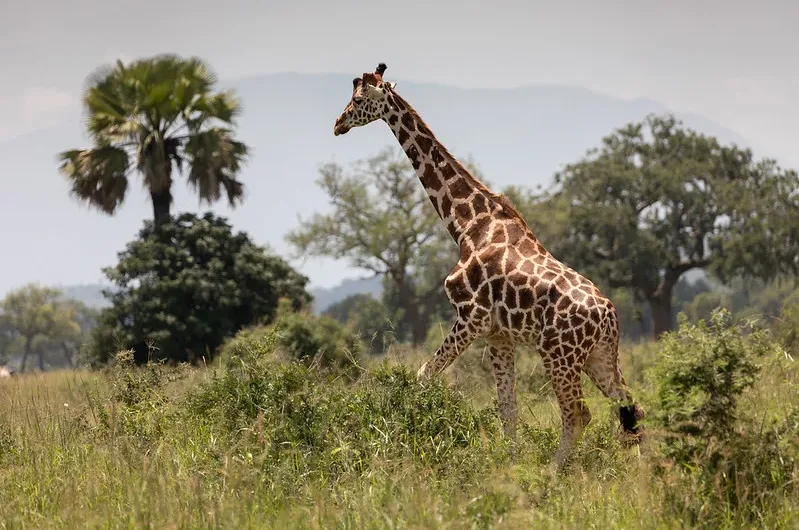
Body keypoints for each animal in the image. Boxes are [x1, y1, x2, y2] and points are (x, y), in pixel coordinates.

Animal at [334, 63, 648, 466]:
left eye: (358, 100)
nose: (338, 123)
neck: (467, 225)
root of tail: (610, 315)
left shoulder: (473, 318)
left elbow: (423, 375)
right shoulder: (500, 335)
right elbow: (506, 407)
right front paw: (508, 463)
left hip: (559, 354)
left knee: (579, 413)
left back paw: (552, 471)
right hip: (600, 355)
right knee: (631, 406)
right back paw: (649, 471)